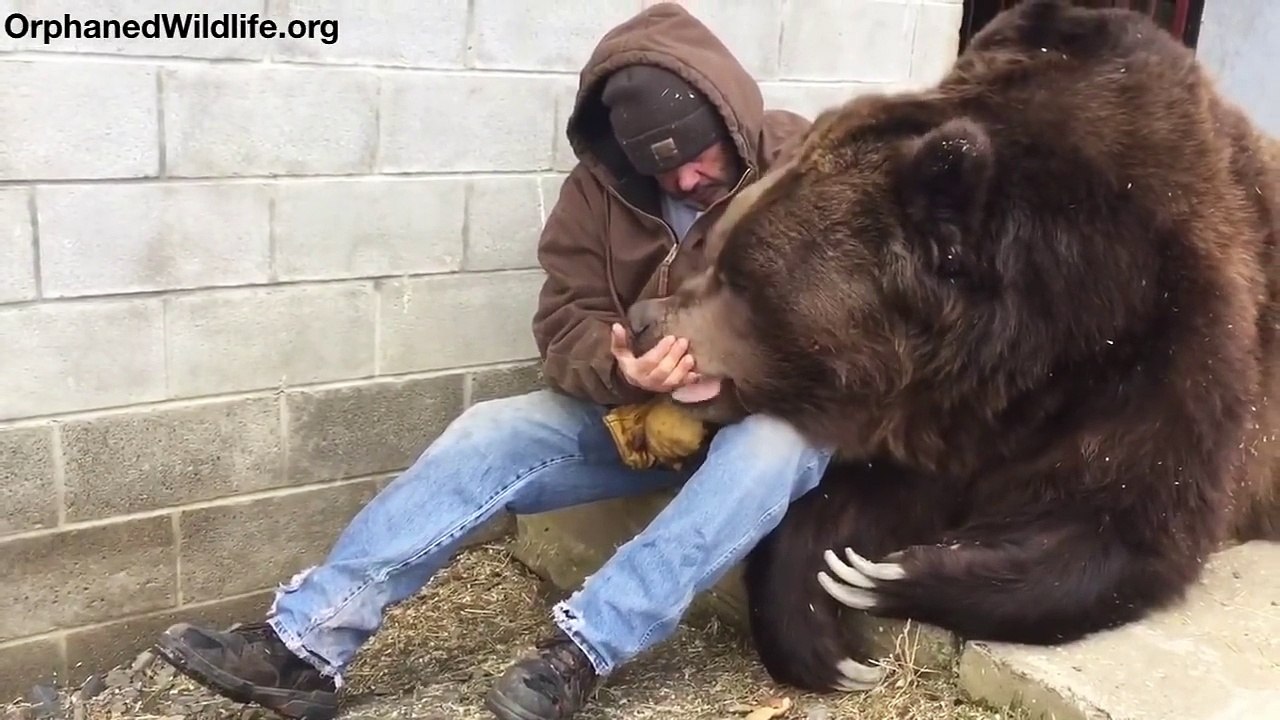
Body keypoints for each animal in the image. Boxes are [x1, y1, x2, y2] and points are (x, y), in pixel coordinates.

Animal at [625, 0, 1279, 693]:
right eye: (720, 248)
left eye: (739, 277)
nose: (642, 317)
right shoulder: (943, 414)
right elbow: (859, 498)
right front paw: (825, 633)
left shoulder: (1172, 346)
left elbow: (1127, 524)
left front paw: (889, 575)